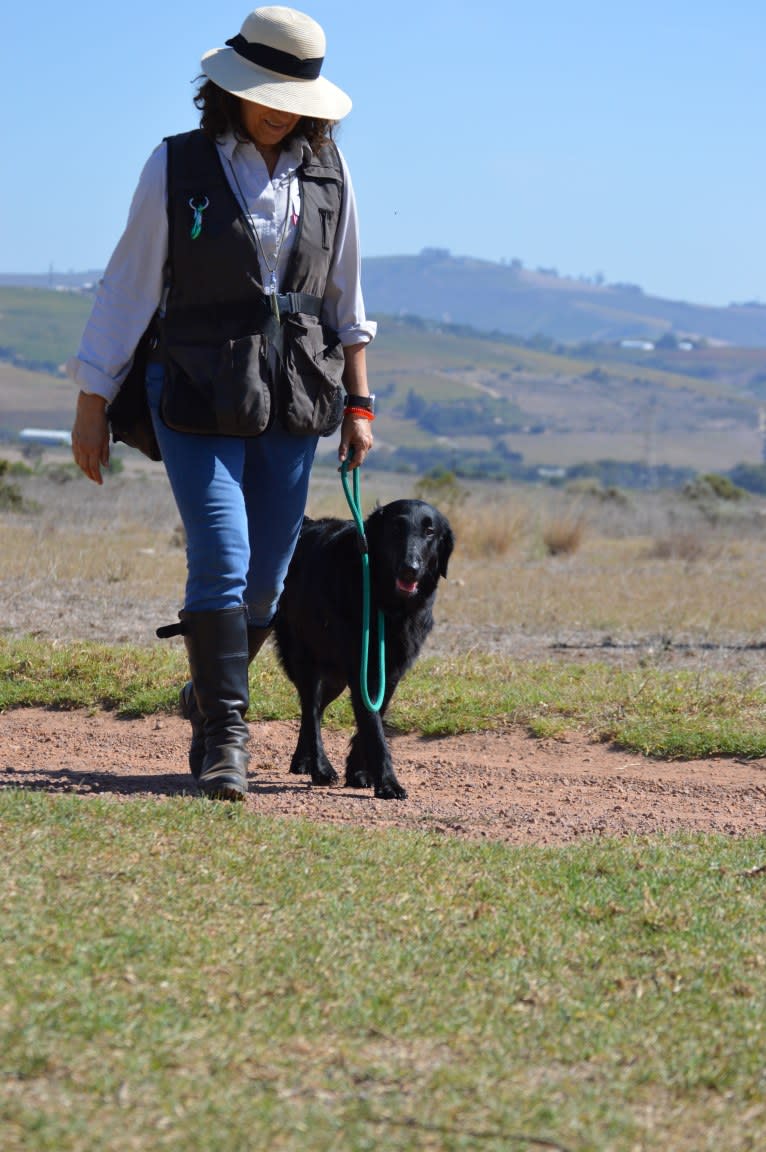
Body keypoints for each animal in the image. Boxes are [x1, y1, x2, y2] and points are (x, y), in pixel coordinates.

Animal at [275, 495, 453, 801]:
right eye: (396, 528)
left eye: (430, 531)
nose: (410, 568)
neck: (387, 603)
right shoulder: (363, 669)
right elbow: (373, 728)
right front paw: (388, 783)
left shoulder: (389, 673)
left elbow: (373, 719)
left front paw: (359, 773)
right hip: (304, 656)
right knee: (310, 709)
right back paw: (320, 767)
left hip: (333, 677)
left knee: (315, 710)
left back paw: (302, 761)